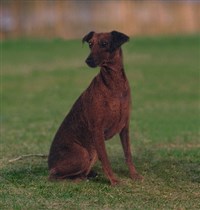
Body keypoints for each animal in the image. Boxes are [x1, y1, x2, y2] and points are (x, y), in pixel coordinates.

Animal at [48, 30, 142, 185]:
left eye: (104, 43)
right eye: (90, 44)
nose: (88, 60)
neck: (115, 84)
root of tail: (50, 165)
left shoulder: (125, 128)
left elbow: (128, 154)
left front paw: (134, 175)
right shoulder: (97, 130)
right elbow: (106, 159)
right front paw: (113, 181)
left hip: (92, 152)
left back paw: (89, 175)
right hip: (84, 154)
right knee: (54, 175)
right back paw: (76, 179)